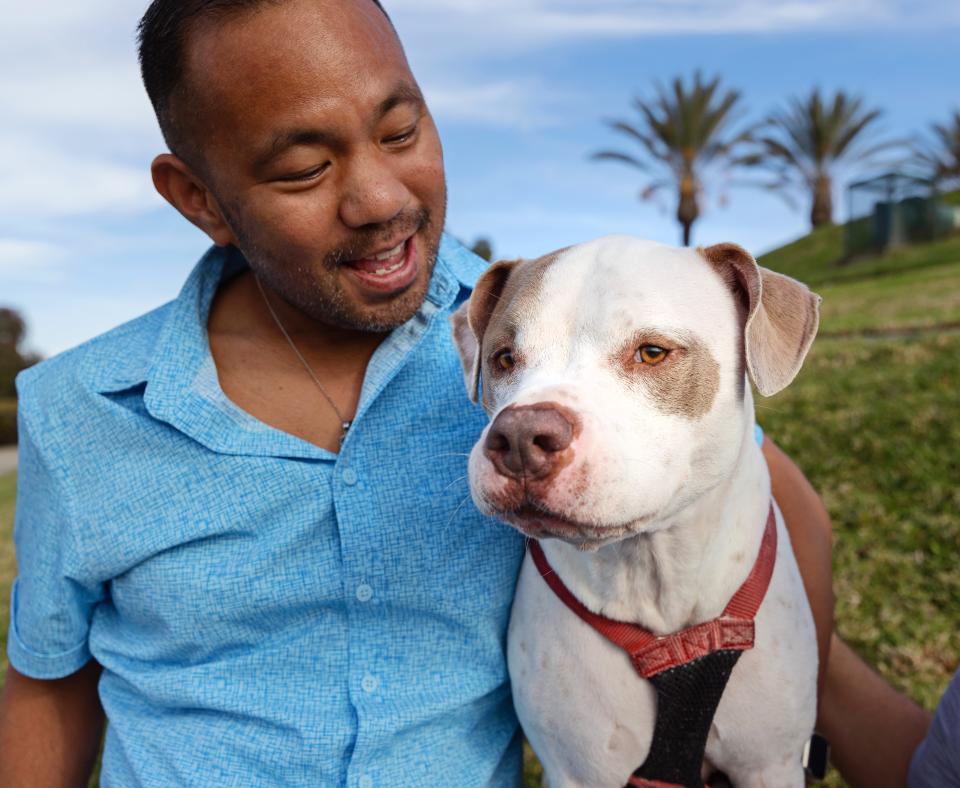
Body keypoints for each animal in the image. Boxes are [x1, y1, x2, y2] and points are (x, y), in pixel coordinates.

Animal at [450, 237, 816, 788]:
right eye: (504, 358)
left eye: (652, 352)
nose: (518, 437)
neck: (653, 573)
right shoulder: (577, 773)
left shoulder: (771, 764)